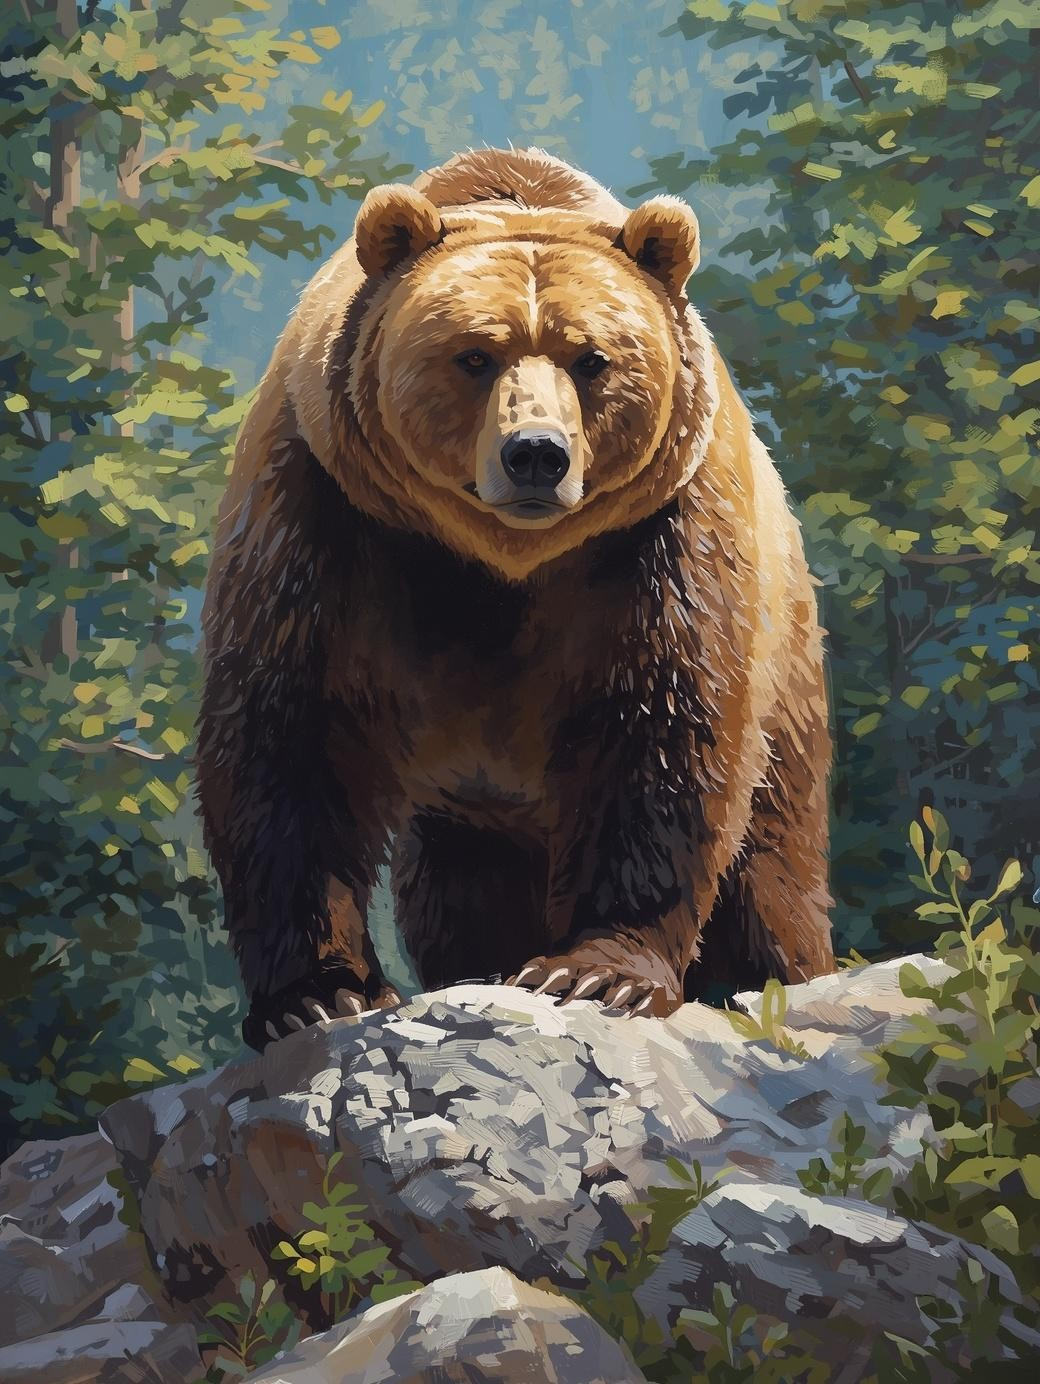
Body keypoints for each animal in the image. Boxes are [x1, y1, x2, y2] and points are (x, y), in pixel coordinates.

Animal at [197, 146, 835, 1050]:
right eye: (475, 354)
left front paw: (597, 972)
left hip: (788, 671)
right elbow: (290, 737)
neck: (502, 561)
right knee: (461, 884)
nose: (536, 453)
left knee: (771, 857)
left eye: (591, 358)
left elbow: (663, 731)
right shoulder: (328, 520)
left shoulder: (661, 540)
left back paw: (772, 973)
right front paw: (319, 994)